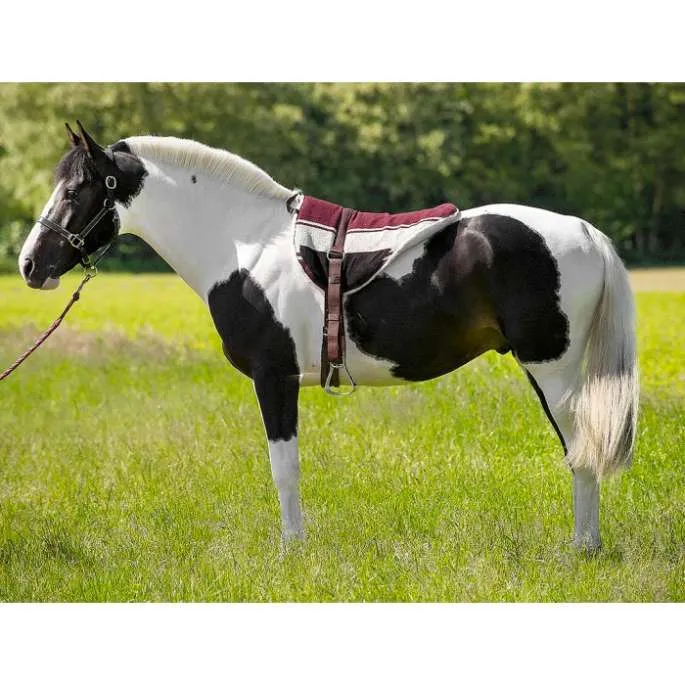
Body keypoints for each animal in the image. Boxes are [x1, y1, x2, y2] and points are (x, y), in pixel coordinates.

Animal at [17, 121, 639, 552]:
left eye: (74, 190)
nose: (28, 265)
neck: (246, 244)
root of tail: (584, 231)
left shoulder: (275, 377)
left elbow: (284, 468)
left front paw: (292, 550)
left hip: (553, 371)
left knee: (583, 452)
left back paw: (582, 549)